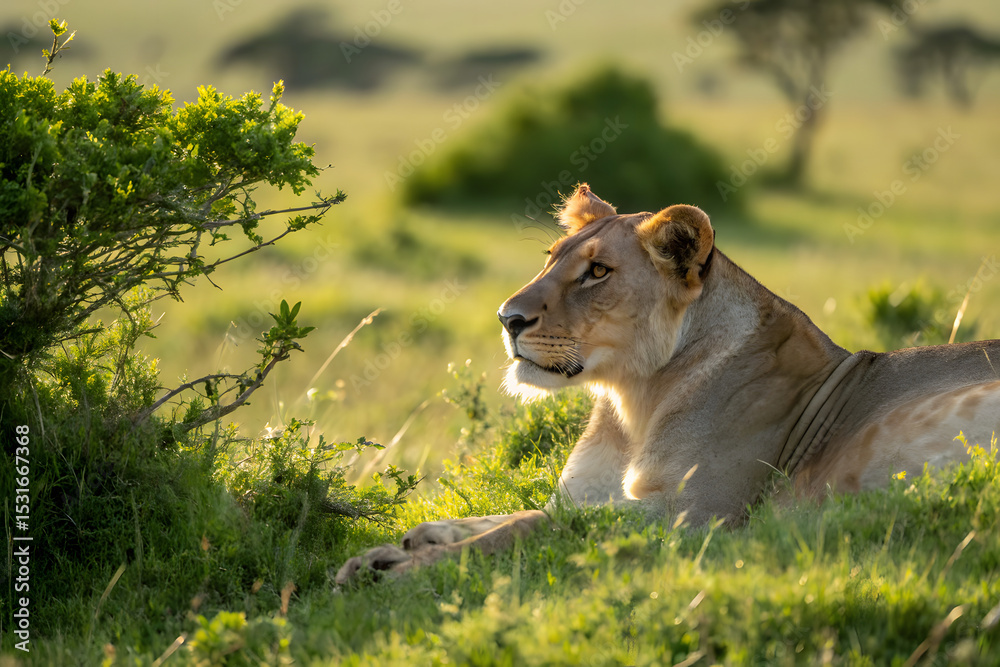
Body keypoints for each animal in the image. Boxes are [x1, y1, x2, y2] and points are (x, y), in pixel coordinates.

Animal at [335, 184, 1000, 584]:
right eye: (551, 258)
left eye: (598, 273)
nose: (507, 318)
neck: (632, 399)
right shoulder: (586, 495)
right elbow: (512, 511)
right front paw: (396, 546)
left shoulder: (697, 517)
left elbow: (532, 525)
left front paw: (399, 569)